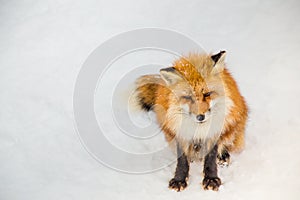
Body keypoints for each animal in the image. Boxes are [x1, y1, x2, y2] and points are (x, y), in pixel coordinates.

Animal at [134, 50, 248, 191]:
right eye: (188, 97)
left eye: (207, 94)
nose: (200, 117)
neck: (199, 130)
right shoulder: (180, 131)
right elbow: (182, 160)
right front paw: (179, 179)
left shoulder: (214, 131)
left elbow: (210, 158)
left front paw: (211, 179)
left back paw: (223, 156)